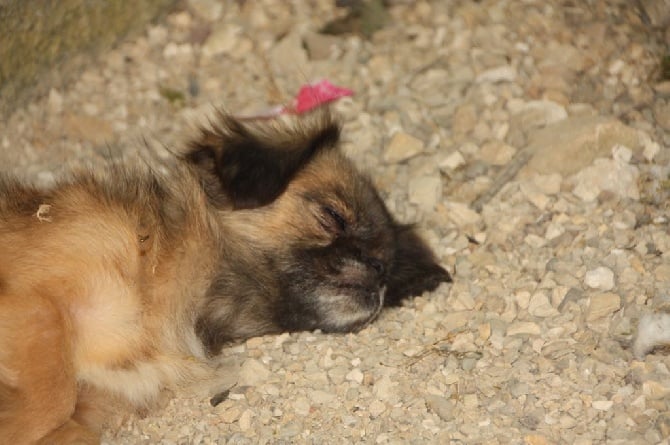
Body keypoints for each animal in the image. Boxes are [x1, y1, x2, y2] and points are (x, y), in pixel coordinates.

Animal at [0, 110, 454, 440]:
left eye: (387, 265)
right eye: (332, 216)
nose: (377, 270)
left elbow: (70, 423)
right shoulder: (32, 300)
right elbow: (53, 399)